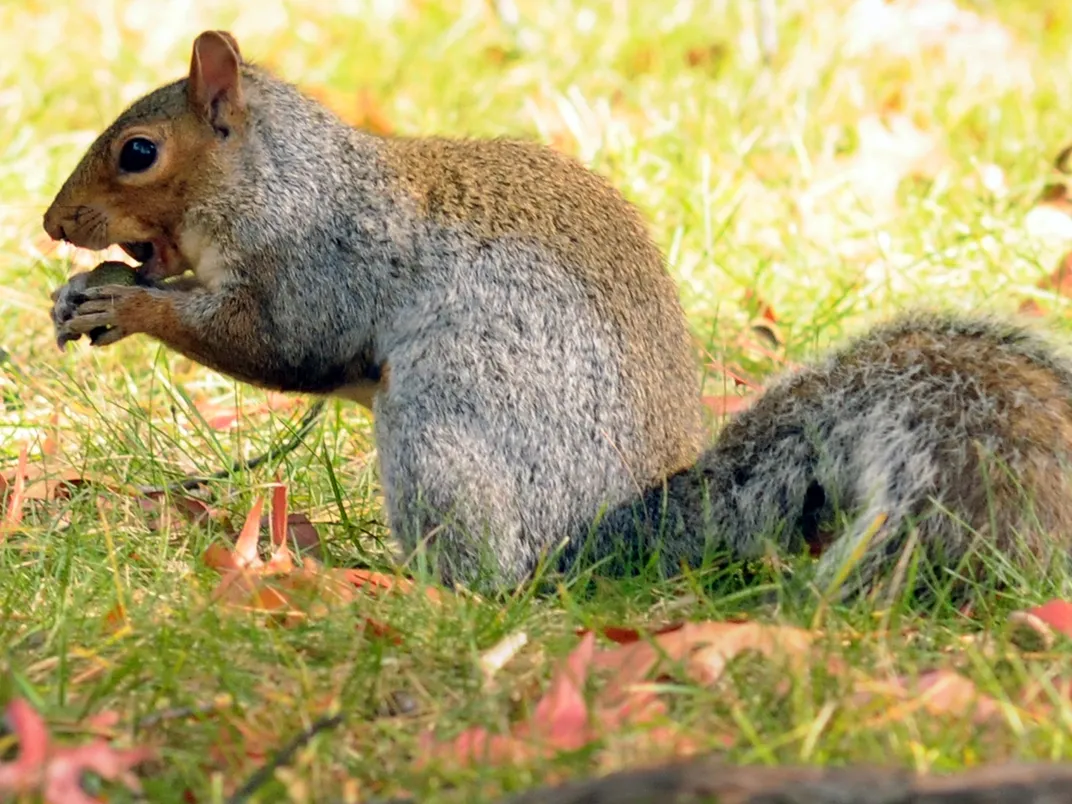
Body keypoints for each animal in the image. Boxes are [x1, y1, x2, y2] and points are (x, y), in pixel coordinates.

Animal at [39, 29, 1072, 600]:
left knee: (486, 578)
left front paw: (125, 300)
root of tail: (605, 538)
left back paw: (390, 585)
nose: (53, 224)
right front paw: (82, 295)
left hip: (445, 431)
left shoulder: (320, 265)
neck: (281, 180)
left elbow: (276, 346)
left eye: (138, 152)